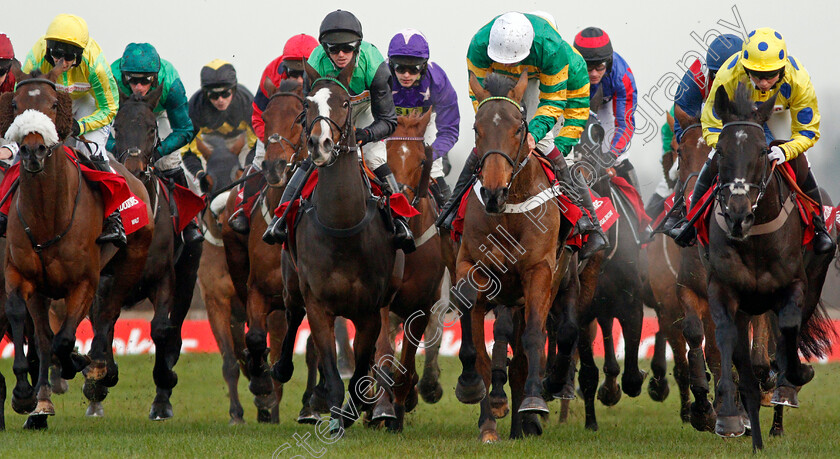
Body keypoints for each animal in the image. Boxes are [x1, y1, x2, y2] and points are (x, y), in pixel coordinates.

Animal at [0, 68, 153, 432]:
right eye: (15, 104)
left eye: (54, 103)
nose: (33, 151)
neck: (48, 215)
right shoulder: (22, 276)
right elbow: (31, 328)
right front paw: (28, 397)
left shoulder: (83, 281)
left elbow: (66, 339)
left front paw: (80, 363)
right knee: (49, 335)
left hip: (129, 263)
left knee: (107, 315)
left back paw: (99, 369)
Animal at [106, 86, 203, 420]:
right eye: (117, 127)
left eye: (151, 128)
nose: (134, 170)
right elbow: (102, 320)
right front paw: (102, 374)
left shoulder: (164, 278)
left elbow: (161, 329)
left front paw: (165, 382)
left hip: (188, 278)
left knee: (175, 331)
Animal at [270, 60, 398, 432]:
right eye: (307, 104)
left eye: (343, 103)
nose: (320, 144)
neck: (343, 227)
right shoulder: (318, 304)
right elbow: (329, 364)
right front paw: (332, 414)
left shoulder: (371, 310)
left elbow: (359, 371)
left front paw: (357, 409)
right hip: (291, 280)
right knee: (292, 316)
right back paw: (286, 371)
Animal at [452, 73, 576, 444]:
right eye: (476, 127)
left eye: (518, 128)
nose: (493, 192)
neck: (507, 214)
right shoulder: (470, 265)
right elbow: (477, 344)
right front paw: (472, 388)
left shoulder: (539, 272)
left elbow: (533, 337)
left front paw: (534, 403)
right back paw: (492, 421)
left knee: (525, 351)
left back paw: (526, 420)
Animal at [704, 83, 832, 452]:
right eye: (720, 150)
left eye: (762, 151)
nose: (738, 215)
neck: (757, 238)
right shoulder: (723, 289)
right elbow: (727, 342)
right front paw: (729, 417)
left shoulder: (794, 287)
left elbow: (787, 333)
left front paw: (795, 377)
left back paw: (781, 401)